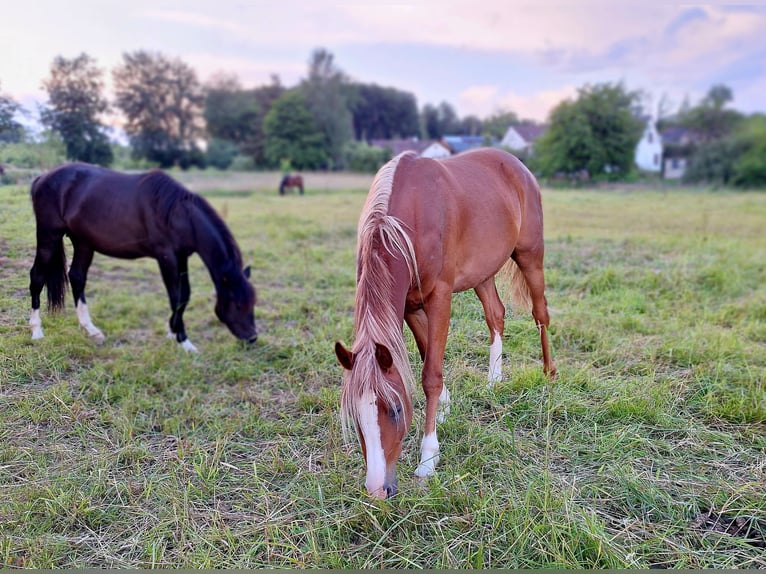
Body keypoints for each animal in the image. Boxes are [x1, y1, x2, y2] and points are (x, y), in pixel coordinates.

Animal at [28, 162, 258, 352]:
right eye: (238, 305)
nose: (252, 338)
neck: (178, 214)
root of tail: (43, 178)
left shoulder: (181, 257)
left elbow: (184, 295)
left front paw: (172, 331)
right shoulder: (167, 258)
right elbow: (176, 297)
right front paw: (183, 341)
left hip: (83, 242)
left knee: (77, 277)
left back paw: (92, 330)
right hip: (49, 236)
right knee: (37, 277)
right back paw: (37, 332)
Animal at [335, 148, 556, 499]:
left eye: (396, 410)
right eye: (356, 416)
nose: (378, 489)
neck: (406, 221)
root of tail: (517, 165)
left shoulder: (439, 296)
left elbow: (431, 375)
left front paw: (428, 458)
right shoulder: (410, 305)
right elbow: (428, 354)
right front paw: (446, 407)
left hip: (530, 255)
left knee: (540, 313)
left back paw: (548, 373)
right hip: (483, 271)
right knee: (496, 314)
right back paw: (494, 380)